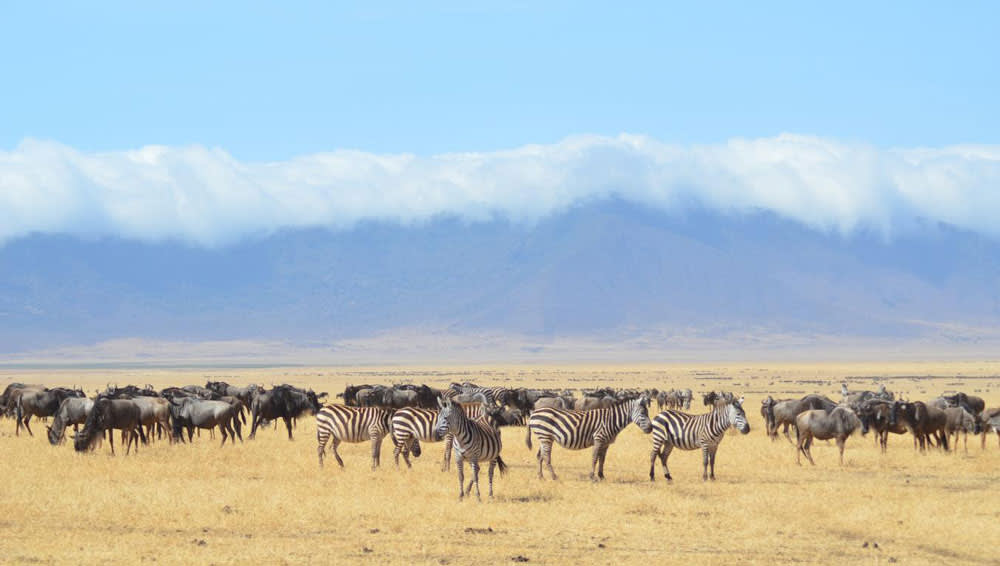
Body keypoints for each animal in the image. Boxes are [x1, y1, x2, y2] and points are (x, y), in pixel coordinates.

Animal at [524, 394, 656, 484]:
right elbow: (594, 458)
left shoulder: (606, 443)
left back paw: (540, 476)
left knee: (539, 456)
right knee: (546, 457)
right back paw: (554, 477)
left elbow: (602, 460)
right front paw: (592, 477)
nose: (651, 428)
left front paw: (602, 476)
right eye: (643, 413)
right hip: (545, 436)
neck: (611, 420)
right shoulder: (598, 439)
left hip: (544, 437)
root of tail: (534, 413)